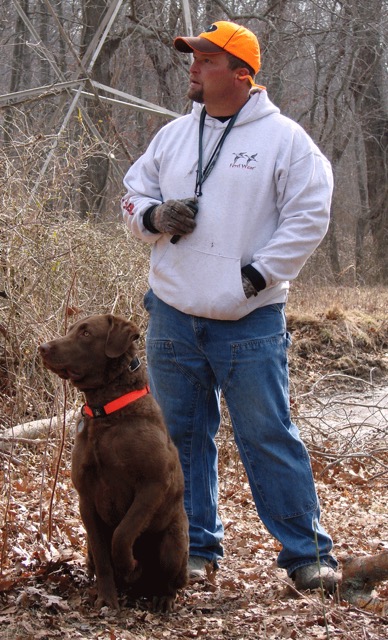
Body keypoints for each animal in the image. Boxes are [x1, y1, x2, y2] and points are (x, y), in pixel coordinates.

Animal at [39, 314, 189, 608]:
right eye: (72, 330)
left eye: (86, 333)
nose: (43, 347)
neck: (106, 414)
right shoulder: (86, 497)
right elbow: (102, 554)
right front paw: (107, 599)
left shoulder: (154, 484)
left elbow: (123, 534)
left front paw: (130, 566)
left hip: (174, 543)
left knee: (171, 581)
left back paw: (161, 598)